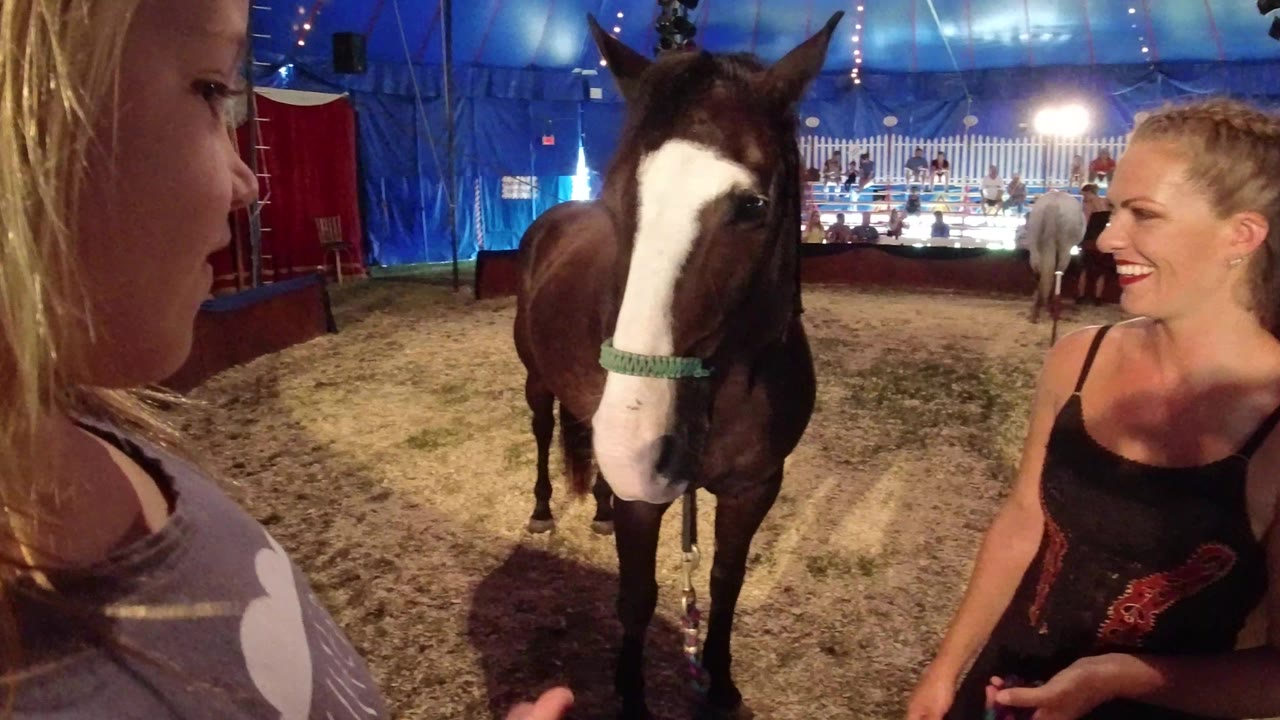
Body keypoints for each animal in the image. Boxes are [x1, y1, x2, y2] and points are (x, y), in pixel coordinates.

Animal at [512, 12, 842, 719]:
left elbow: (725, 583)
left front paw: (720, 685)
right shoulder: (646, 501)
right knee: (545, 431)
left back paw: (600, 508)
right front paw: (631, 696)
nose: (634, 442)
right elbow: (637, 598)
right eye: (621, 201)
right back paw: (546, 510)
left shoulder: (755, 487)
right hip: (536, 383)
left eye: (753, 207)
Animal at [1025, 190, 1085, 323]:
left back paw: (1035, 312)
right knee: (1058, 271)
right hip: (1065, 248)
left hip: (1034, 245)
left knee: (1039, 271)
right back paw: (1052, 310)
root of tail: (1052, 204)